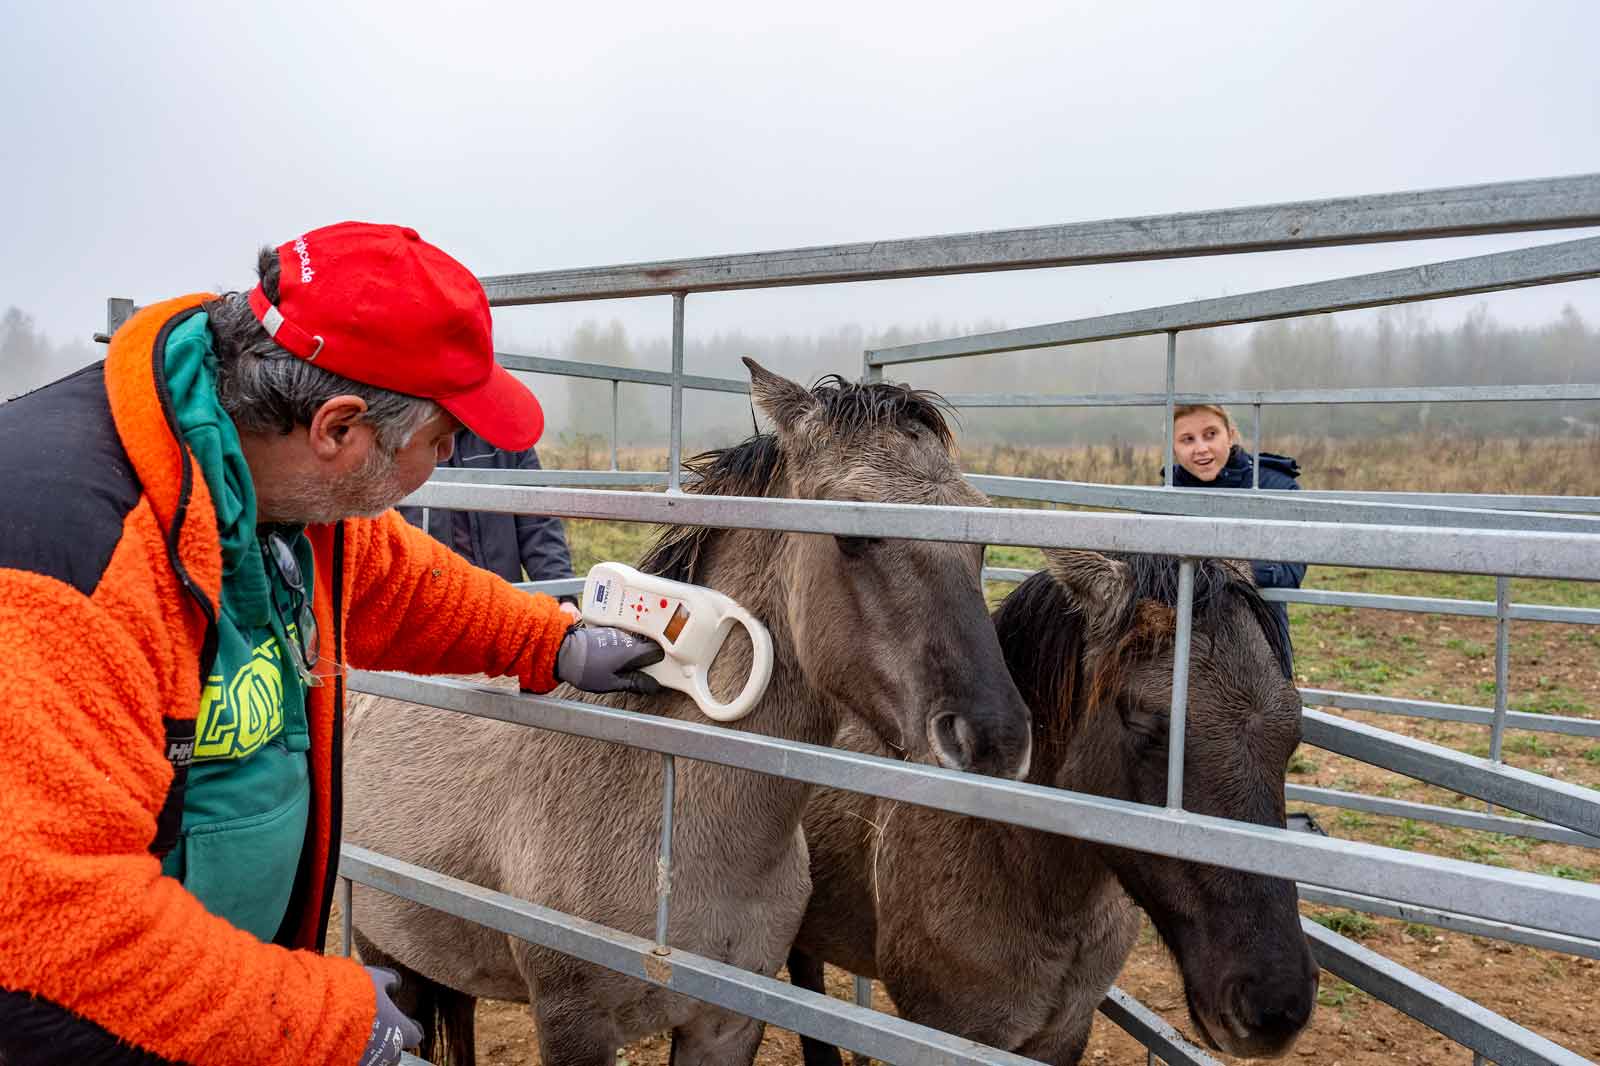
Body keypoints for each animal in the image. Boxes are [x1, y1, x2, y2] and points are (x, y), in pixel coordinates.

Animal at [341, 358, 1034, 1066]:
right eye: (851, 536)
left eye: (982, 533)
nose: (994, 740)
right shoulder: (572, 1023)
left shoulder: (725, 1024)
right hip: (386, 950)